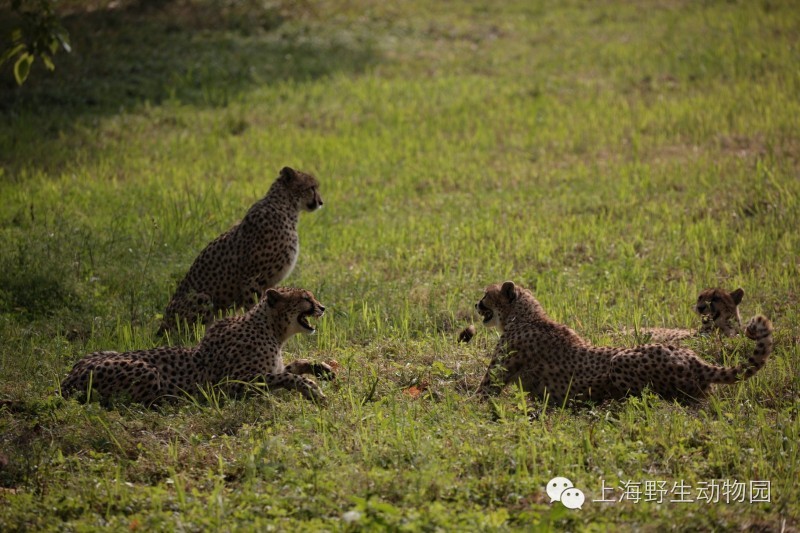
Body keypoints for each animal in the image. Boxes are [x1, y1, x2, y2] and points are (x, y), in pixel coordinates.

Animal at [63, 286, 334, 404]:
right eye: (305, 298)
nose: (322, 307)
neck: (272, 330)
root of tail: (66, 380)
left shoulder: (270, 368)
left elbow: (294, 365)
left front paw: (322, 370)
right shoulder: (230, 384)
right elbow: (287, 377)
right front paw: (312, 389)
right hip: (147, 372)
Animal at [158, 166, 324, 332]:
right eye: (312, 188)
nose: (321, 202)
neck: (286, 207)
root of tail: (162, 325)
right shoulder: (251, 278)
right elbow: (254, 306)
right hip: (203, 298)